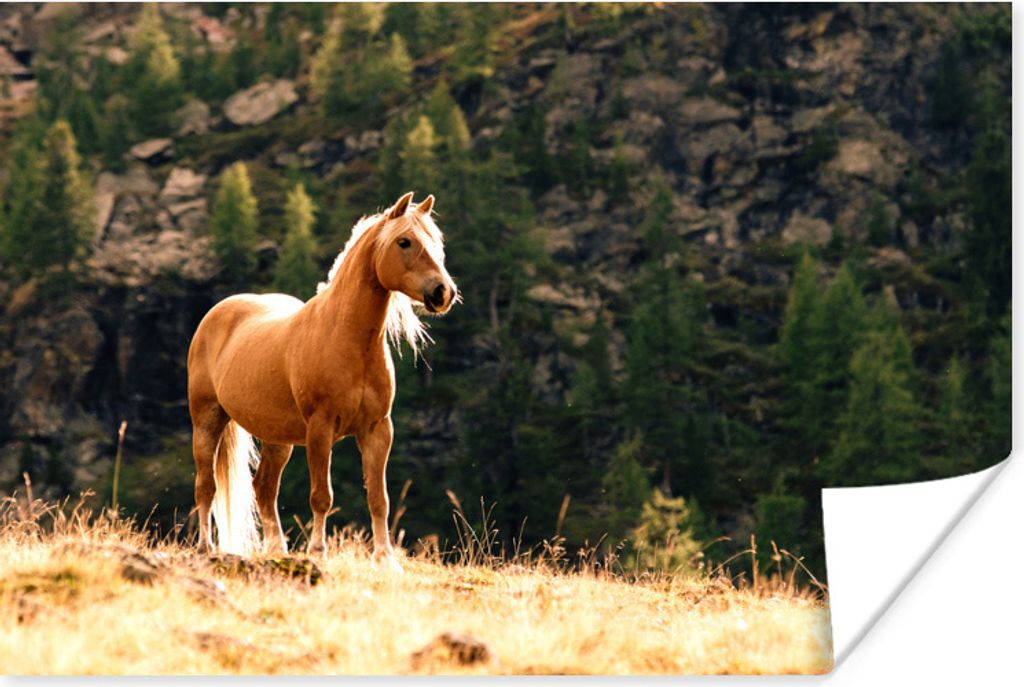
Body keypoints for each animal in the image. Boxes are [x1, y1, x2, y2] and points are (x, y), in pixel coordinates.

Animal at [186, 191, 457, 568]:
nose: (443, 292)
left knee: (264, 488)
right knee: (206, 486)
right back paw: (205, 548)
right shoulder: (320, 428)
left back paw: (277, 550)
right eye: (405, 241)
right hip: (207, 420)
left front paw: (386, 560)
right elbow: (321, 496)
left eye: (437, 242)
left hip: (277, 438)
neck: (347, 340)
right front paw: (318, 552)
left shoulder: (378, 430)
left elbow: (379, 498)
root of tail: (217, 313)